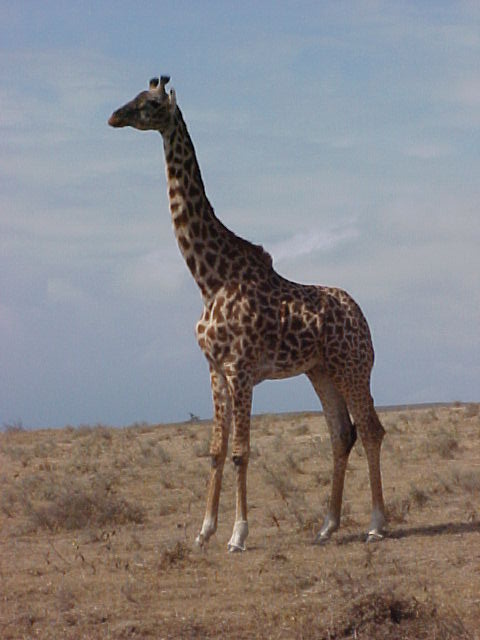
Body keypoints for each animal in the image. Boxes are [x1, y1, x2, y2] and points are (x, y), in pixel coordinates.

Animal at [108, 76, 386, 552]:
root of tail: (361, 317)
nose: (113, 116)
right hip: (321, 371)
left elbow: (241, 452)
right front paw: (204, 531)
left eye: (150, 104)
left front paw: (238, 534)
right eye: (135, 96)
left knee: (370, 429)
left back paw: (375, 524)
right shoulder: (214, 369)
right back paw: (327, 525)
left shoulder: (240, 368)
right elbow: (216, 449)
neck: (209, 278)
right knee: (341, 432)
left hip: (353, 366)